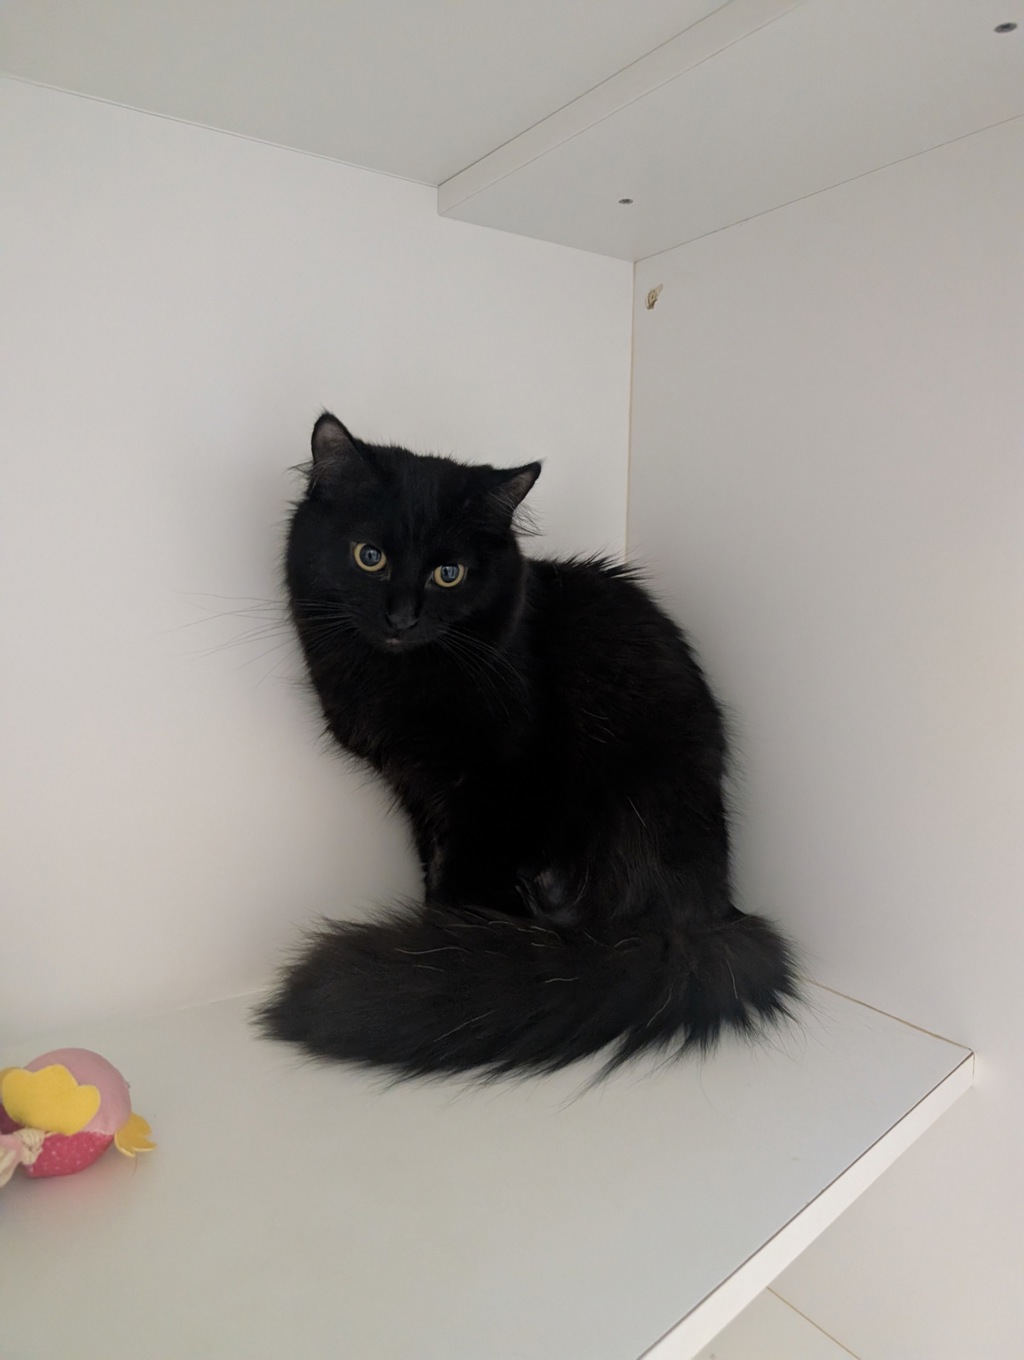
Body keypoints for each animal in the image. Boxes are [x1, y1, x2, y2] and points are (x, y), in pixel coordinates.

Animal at [257, 413, 797, 1077]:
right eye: (369, 557)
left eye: (449, 574)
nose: (402, 617)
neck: (396, 681)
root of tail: (710, 920)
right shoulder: (421, 793)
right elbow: (434, 866)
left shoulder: (499, 789)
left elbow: (465, 872)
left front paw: (455, 949)